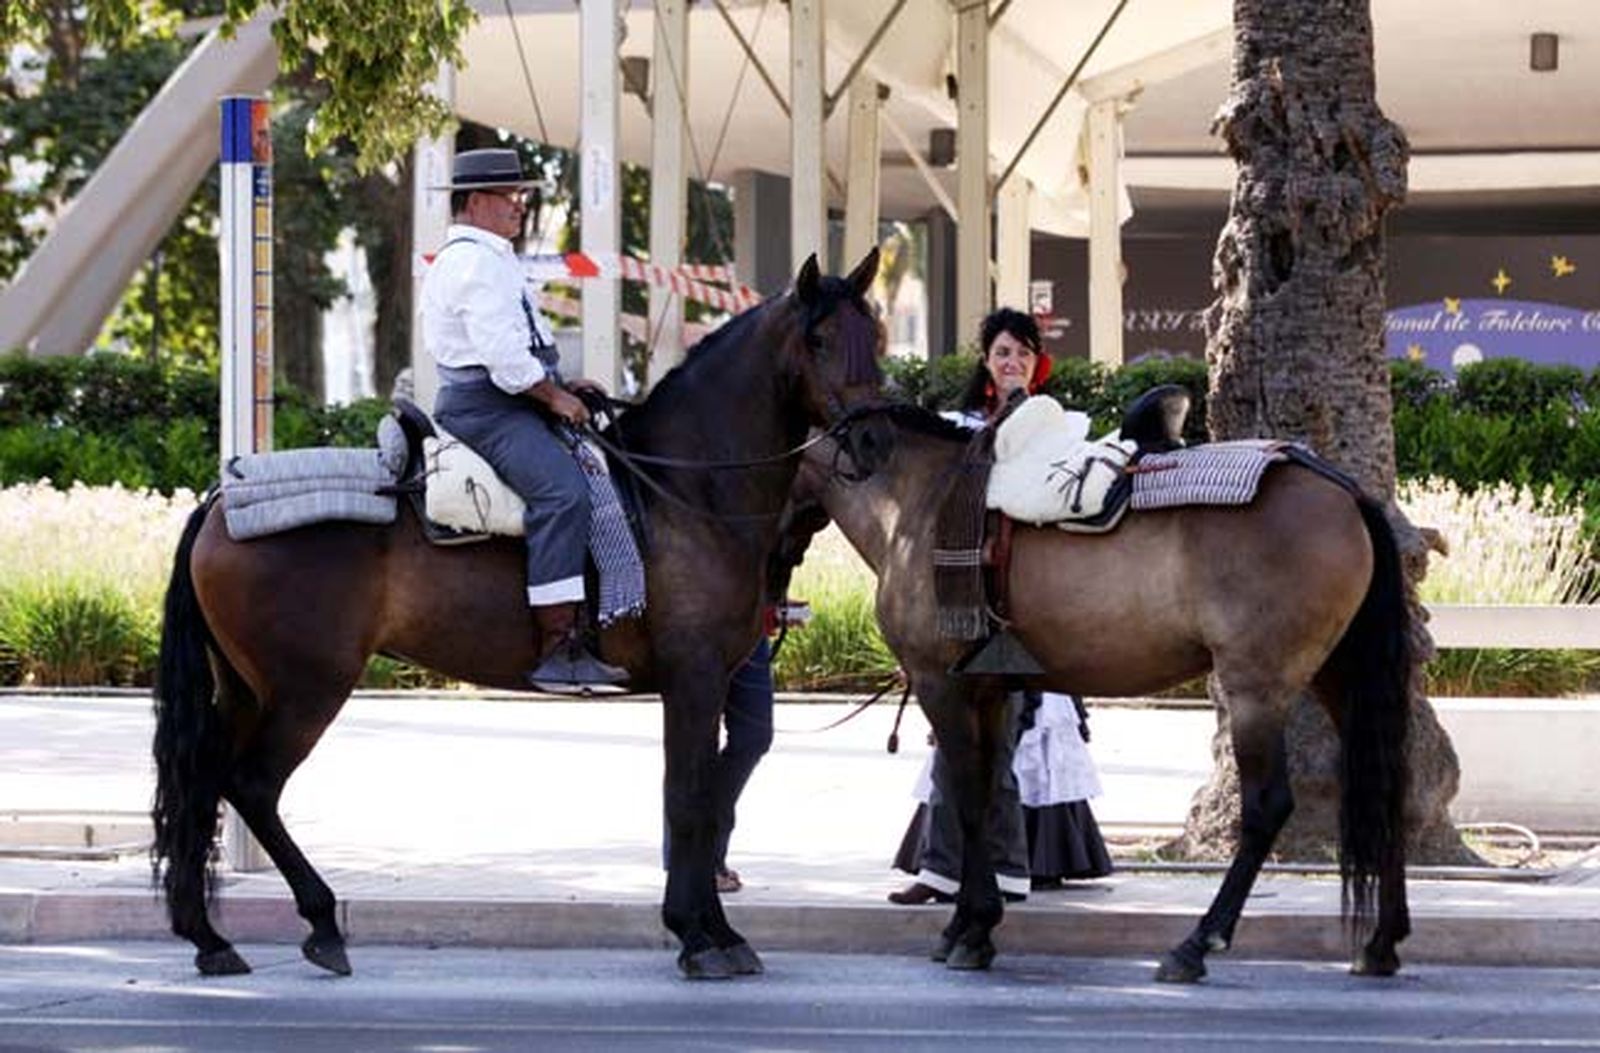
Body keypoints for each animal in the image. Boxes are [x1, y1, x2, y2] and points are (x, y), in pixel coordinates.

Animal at [152, 249, 887, 980]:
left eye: (875, 336)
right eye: (820, 340)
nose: (875, 439)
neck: (685, 486)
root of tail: (220, 501)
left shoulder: (706, 682)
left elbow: (704, 800)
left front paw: (714, 928)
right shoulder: (694, 678)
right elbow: (688, 801)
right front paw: (698, 934)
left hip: (245, 688)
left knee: (204, 782)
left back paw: (209, 936)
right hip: (307, 687)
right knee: (251, 784)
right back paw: (320, 920)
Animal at [777, 402, 1412, 982]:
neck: (914, 502)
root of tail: (1345, 492)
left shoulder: (943, 685)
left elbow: (967, 800)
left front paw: (974, 928)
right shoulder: (987, 691)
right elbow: (986, 797)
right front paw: (966, 923)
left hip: (1257, 685)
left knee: (1266, 806)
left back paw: (1198, 943)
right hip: (1339, 675)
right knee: (1386, 789)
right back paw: (1381, 941)